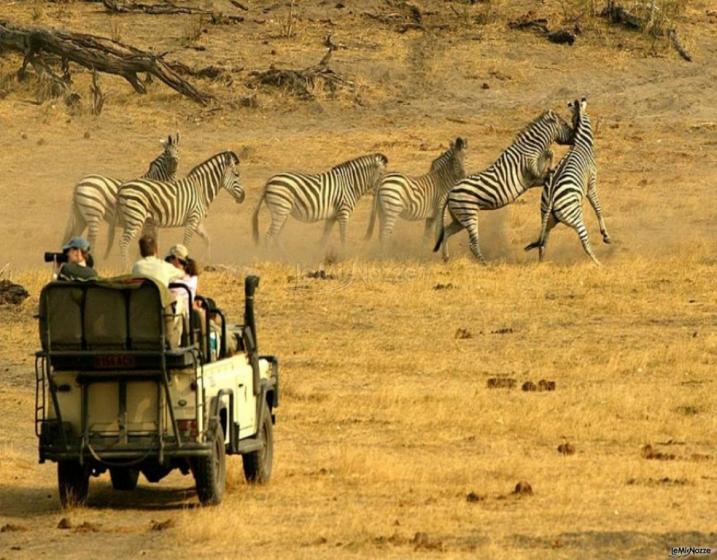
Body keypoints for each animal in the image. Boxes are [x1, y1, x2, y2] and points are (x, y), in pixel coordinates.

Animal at [114, 151, 243, 266]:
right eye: (236, 174)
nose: (243, 196)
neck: (201, 189)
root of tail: (122, 187)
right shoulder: (192, 220)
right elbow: (185, 244)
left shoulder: (197, 222)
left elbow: (208, 240)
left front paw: (205, 261)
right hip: (135, 218)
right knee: (123, 243)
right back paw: (126, 267)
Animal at [252, 153, 386, 249]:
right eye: (382, 174)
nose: (380, 189)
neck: (350, 184)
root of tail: (268, 182)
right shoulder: (343, 212)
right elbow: (343, 236)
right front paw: (343, 255)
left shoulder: (332, 216)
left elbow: (325, 237)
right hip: (281, 209)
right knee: (269, 236)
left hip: (282, 211)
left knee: (276, 235)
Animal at [430, 112, 576, 266]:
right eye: (565, 124)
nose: (575, 135)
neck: (530, 148)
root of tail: (449, 192)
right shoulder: (534, 173)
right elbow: (548, 157)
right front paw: (552, 168)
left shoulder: (534, 181)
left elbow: (549, 153)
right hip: (468, 213)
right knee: (472, 243)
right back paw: (485, 263)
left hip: (459, 218)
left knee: (446, 232)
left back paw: (446, 258)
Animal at [524, 98, 612, 264]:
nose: (584, 98)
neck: (581, 142)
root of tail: (551, 197)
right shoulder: (591, 184)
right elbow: (598, 208)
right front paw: (605, 235)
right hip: (575, 217)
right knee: (585, 243)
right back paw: (599, 264)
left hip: (547, 219)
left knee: (542, 244)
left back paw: (541, 265)